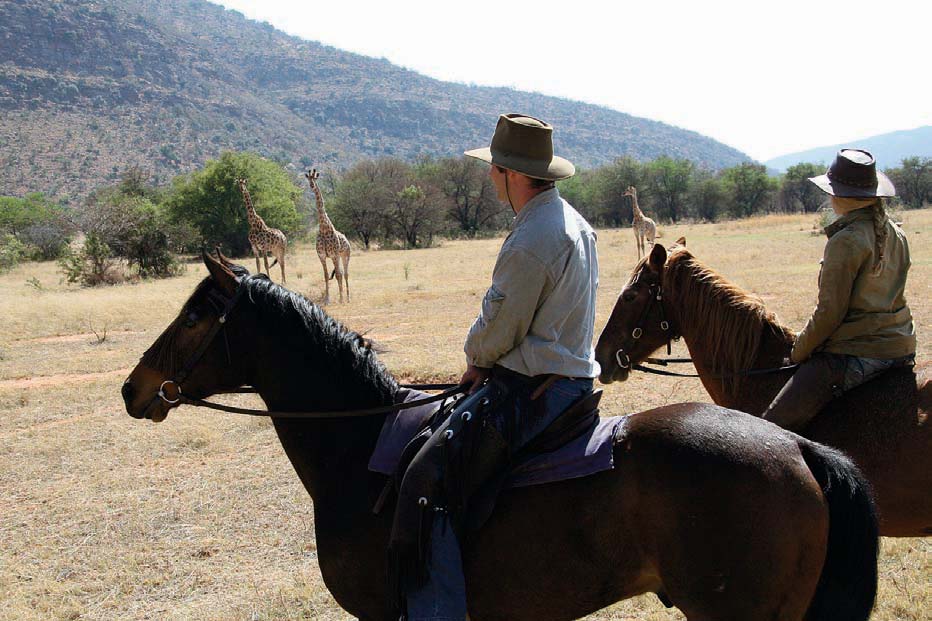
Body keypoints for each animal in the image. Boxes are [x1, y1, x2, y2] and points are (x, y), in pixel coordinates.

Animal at [306, 167, 354, 302]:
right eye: (308, 179)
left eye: (315, 178)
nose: (312, 185)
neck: (324, 228)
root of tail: (347, 240)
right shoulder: (322, 256)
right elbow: (326, 275)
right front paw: (327, 299)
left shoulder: (334, 255)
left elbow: (337, 275)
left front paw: (341, 299)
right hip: (338, 257)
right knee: (341, 273)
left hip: (345, 255)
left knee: (345, 273)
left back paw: (347, 298)